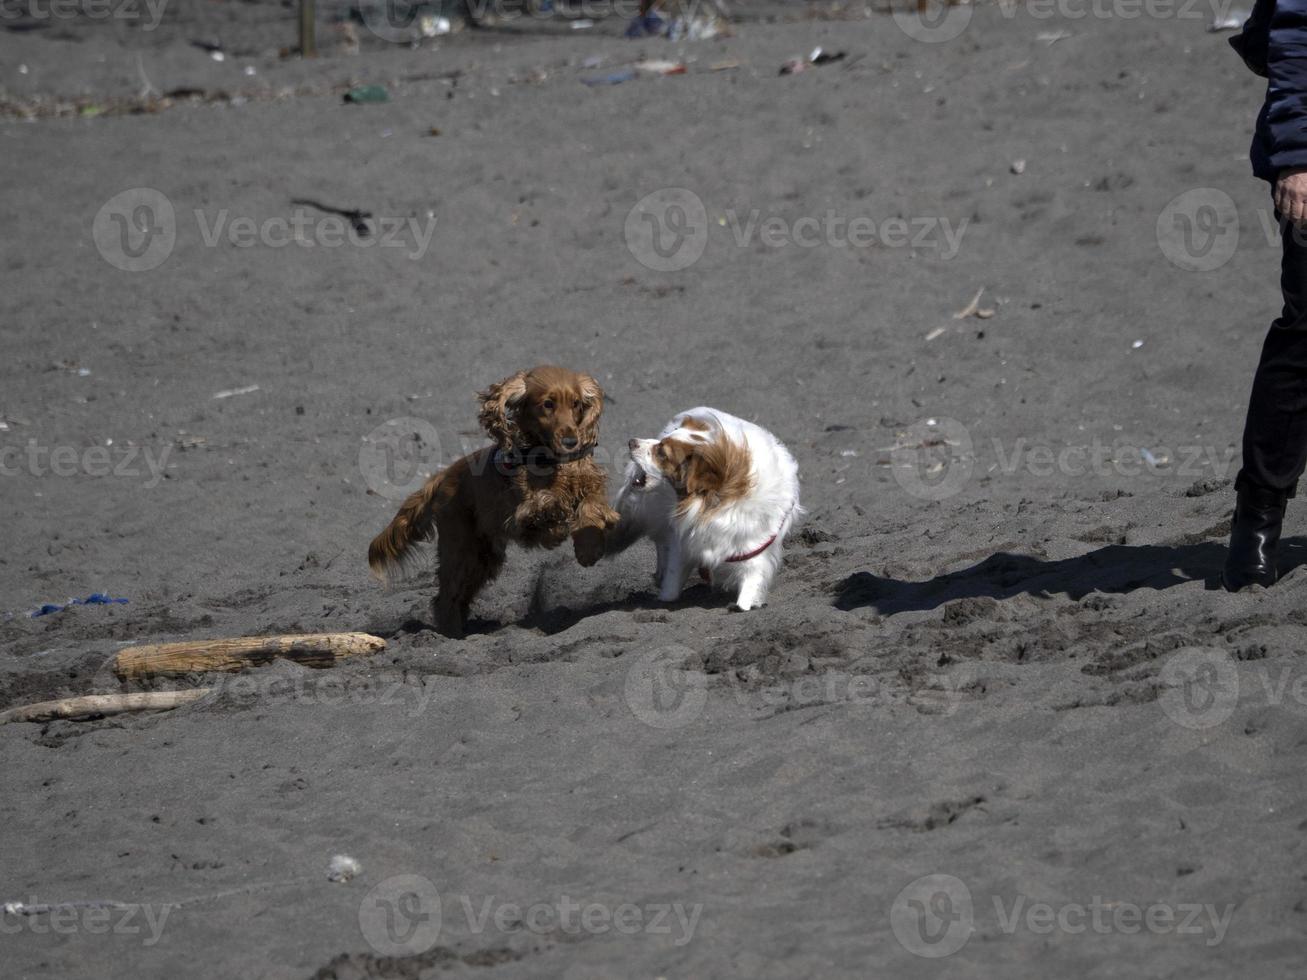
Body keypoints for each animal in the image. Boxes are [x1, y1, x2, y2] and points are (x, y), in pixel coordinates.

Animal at [363, 365, 616, 637]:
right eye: (548, 404)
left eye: (576, 403)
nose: (571, 441)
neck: (553, 460)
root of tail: (444, 475)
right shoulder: (521, 515)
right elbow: (545, 506)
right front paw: (557, 518)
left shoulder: (590, 485)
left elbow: (592, 508)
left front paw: (589, 549)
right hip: (461, 549)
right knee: (446, 598)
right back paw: (453, 635)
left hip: (482, 558)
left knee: (459, 596)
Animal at [614, 407, 805, 611]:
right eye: (662, 442)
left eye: (662, 453)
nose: (631, 442)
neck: (713, 503)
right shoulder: (682, 542)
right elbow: (672, 583)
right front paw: (664, 596)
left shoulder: (754, 552)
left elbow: (747, 593)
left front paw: (744, 604)